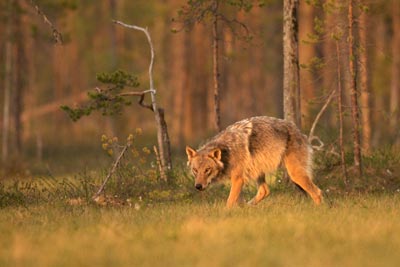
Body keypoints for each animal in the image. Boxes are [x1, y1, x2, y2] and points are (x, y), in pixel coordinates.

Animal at [186, 116, 324, 208]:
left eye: (207, 170)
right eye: (195, 170)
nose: (198, 186)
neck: (227, 151)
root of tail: (301, 133)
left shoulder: (238, 179)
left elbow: (229, 201)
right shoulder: (238, 180)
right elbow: (235, 199)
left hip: (295, 174)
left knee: (317, 192)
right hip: (259, 170)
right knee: (265, 191)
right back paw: (248, 206)